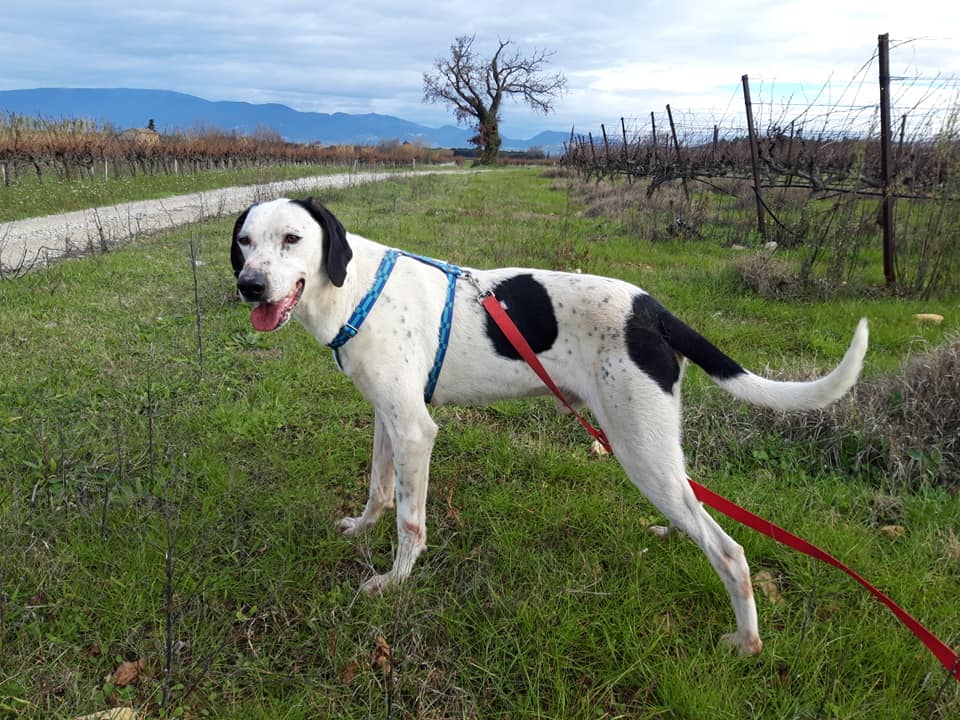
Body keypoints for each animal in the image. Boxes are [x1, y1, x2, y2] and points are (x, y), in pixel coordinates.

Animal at [231, 195, 872, 652]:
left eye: (292, 239)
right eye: (244, 242)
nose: (249, 286)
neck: (355, 288)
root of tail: (653, 310)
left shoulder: (416, 430)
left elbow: (410, 522)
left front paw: (395, 581)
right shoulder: (387, 419)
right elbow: (379, 491)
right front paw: (364, 529)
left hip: (638, 449)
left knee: (730, 550)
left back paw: (745, 641)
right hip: (651, 451)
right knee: (699, 517)